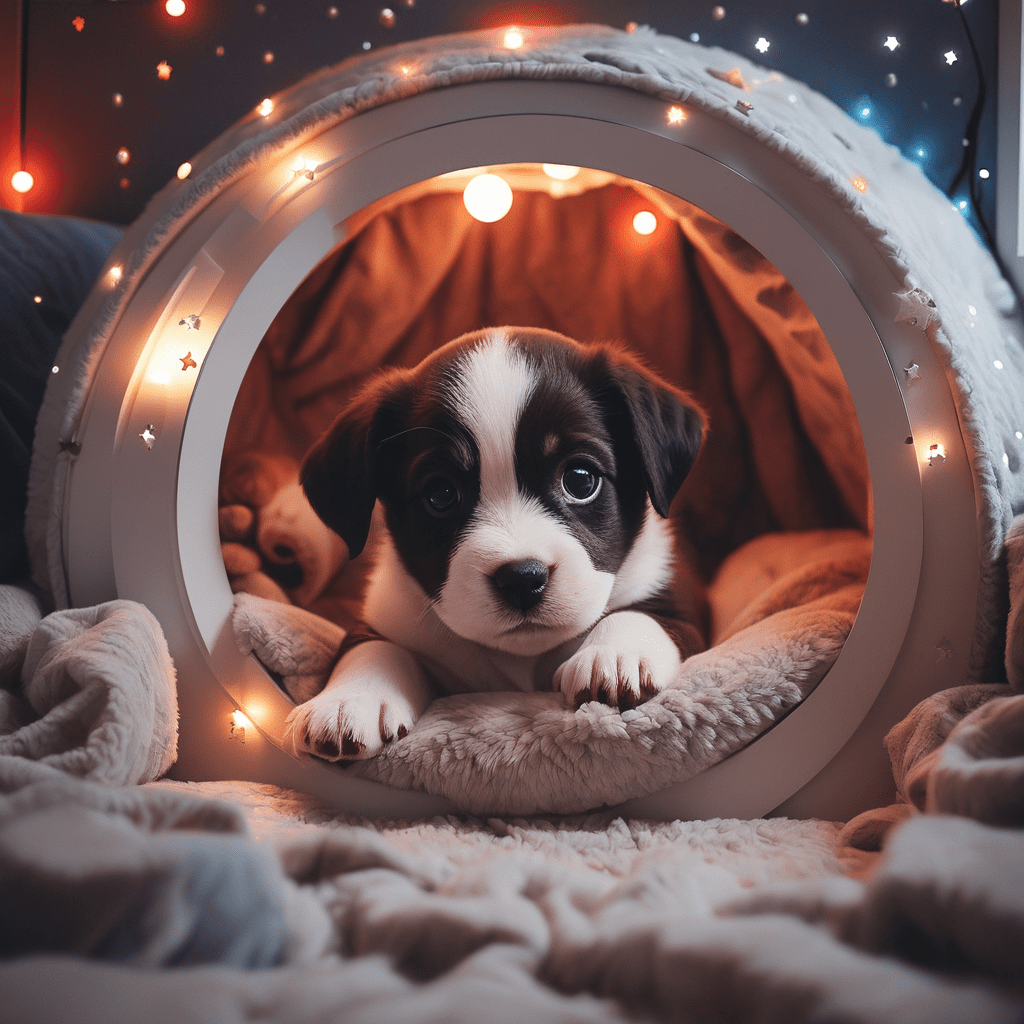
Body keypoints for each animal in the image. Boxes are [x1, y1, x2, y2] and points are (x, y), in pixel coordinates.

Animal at [286, 327, 704, 761]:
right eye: (440, 494)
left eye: (581, 480)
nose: (522, 579)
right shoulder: (387, 616)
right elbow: (373, 647)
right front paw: (349, 699)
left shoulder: (679, 602)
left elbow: (642, 614)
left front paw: (616, 655)